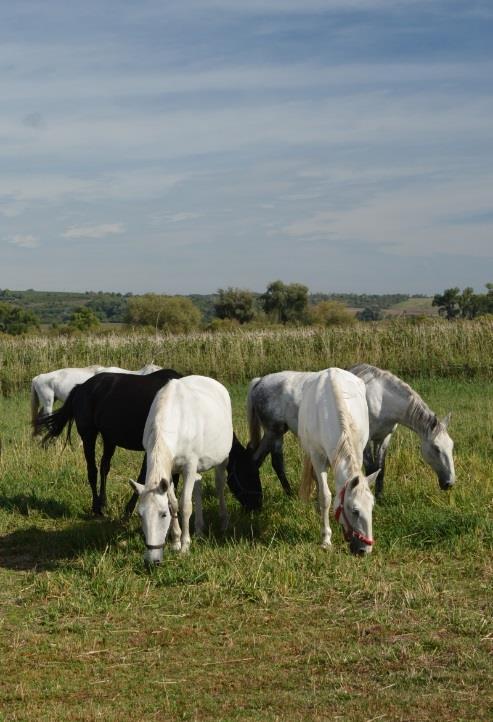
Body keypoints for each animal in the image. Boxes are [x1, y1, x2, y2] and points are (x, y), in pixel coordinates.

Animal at [37, 368, 262, 516]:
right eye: (248, 472)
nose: (257, 504)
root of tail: (81, 387)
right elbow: (145, 476)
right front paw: (130, 510)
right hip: (88, 434)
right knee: (92, 470)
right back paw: (96, 508)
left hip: (109, 438)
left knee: (104, 467)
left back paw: (104, 503)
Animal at [130, 374, 235, 564]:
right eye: (140, 515)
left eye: (163, 515)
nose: (152, 560)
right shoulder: (170, 471)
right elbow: (174, 503)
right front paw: (176, 542)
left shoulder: (189, 466)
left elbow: (185, 505)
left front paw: (185, 546)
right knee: (198, 484)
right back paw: (199, 529)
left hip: (222, 459)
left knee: (219, 485)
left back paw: (224, 522)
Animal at [296, 368, 376, 556]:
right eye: (355, 510)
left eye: (371, 507)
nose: (365, 550)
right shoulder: (318, 458)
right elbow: (325, 496)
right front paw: (326, 539)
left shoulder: (358, 452)